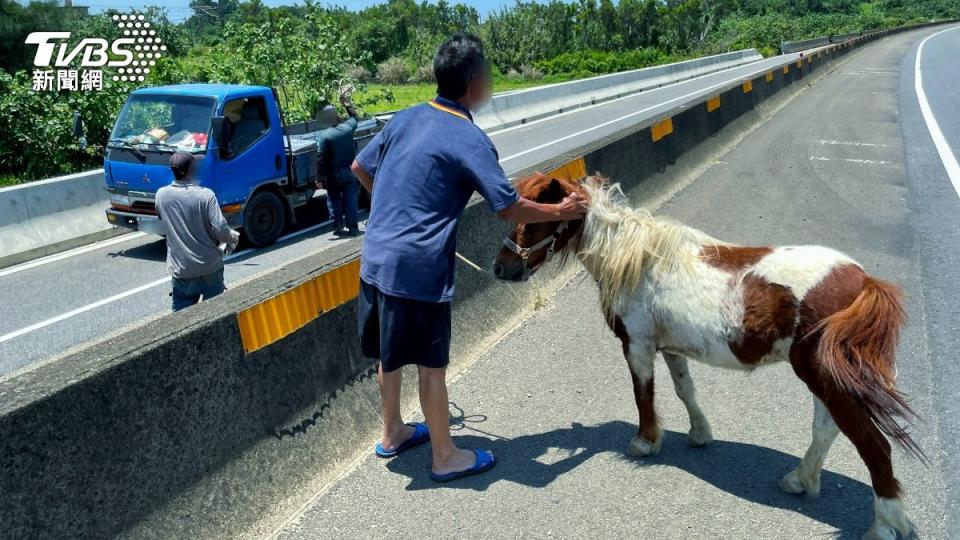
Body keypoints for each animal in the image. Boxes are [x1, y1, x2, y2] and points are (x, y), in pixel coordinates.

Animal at [496, 174, 924, 540]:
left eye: (530, 222)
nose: (501, 268)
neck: (637, 259)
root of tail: (863, 281)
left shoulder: (637, 346)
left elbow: (643, 396)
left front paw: (645, 442)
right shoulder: (670, 348)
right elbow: (685, 391)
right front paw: (699, 434)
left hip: (823, 377)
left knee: (872, 444)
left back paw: (884, 524)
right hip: (823, 378)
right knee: (827, 430)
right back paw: (800, 480)